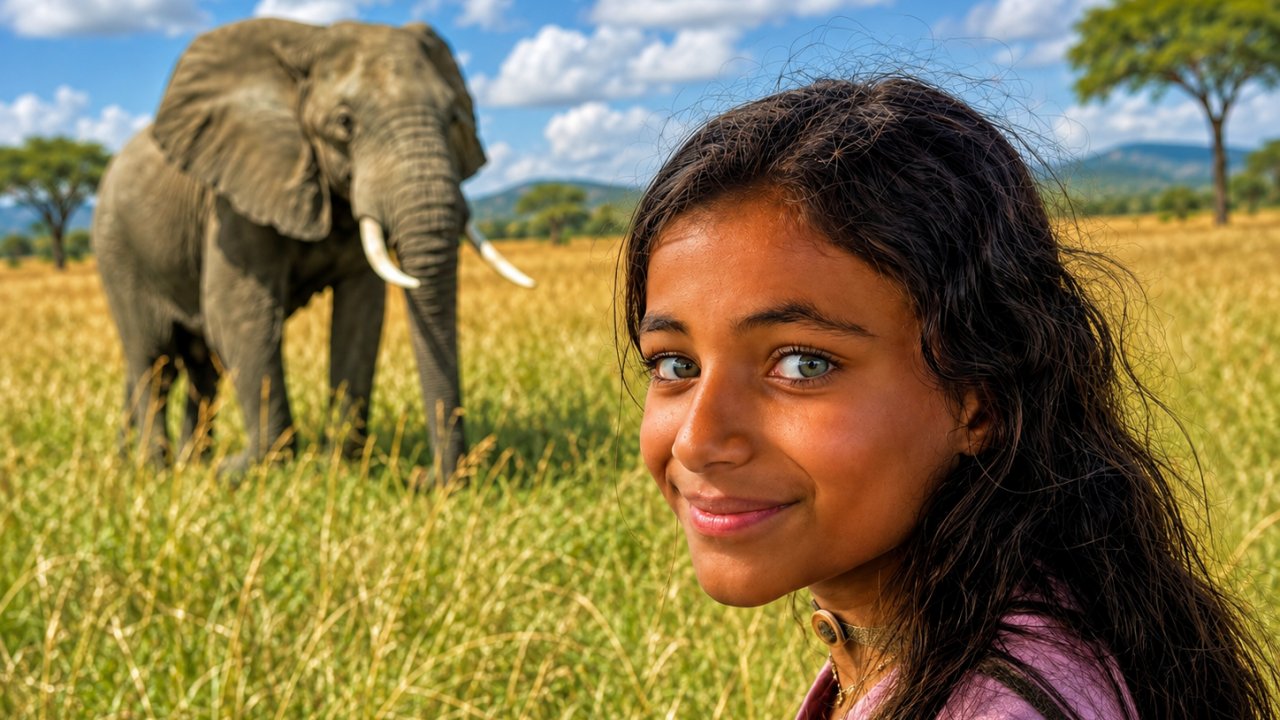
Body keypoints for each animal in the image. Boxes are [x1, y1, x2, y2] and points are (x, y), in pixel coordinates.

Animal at [92, 18, 533, 479]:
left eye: (454, 117)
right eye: (344, 122)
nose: (423, 479)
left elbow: (360, 317)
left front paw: (340, 464)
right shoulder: (235, 197)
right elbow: (238, 312)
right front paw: (251, 470)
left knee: (199, 367)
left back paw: (187, 464)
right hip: (117, 247)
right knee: (152, 358)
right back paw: (156, 470)